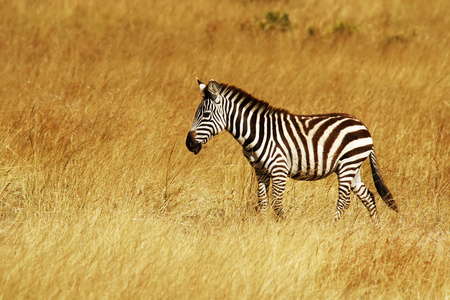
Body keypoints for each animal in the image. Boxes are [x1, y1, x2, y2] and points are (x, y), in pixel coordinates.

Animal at [186, 78, 398, 224]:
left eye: (206, 114)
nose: (189, 144)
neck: (256, 132)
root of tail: (363, 125)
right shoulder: (260, 171)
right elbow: (262, 203)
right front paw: (261, 228)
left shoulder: (279, 169)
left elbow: (277, 204)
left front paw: (284, 225)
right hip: (352, 168)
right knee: (368, 196)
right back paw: (377, 229)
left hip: (348, 164)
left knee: (344, 201)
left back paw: (332, 227)